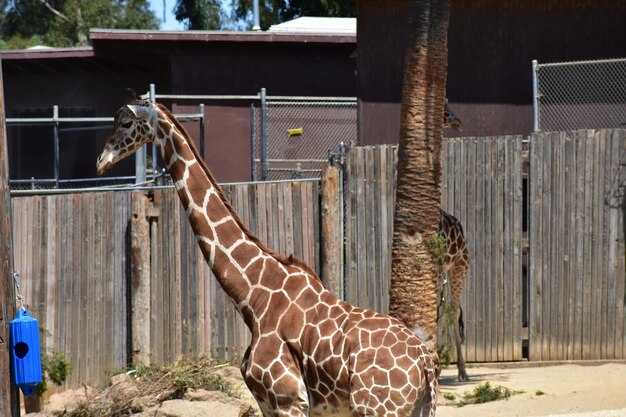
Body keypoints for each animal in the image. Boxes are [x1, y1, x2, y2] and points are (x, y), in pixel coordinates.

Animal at [97, 90, 436, 416]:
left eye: (125, 122)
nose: (101, 160)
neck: (254, 298)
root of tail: (425, 364)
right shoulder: (270, 404)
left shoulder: (287, 400)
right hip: (414, 410)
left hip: (377, 408)